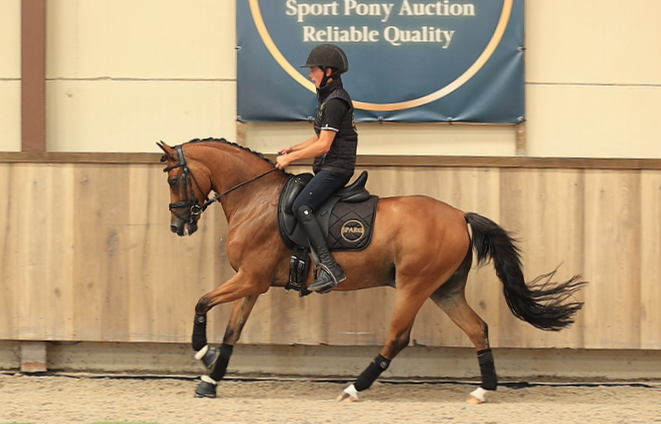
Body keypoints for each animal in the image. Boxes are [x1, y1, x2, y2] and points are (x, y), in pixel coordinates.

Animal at [158, 137, 587, 403]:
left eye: (175, 178)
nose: (178, 226)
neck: (256, 199)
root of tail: (459, 214)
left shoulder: (250, 278)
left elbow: (201, 303)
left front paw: (202, 354)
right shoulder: (253, 282)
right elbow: (231, 331)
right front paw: (211, 378)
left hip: (414, 286)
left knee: (397, 338)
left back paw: (353, 388)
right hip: (444, 289)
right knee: (477, 328)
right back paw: (483, 390)